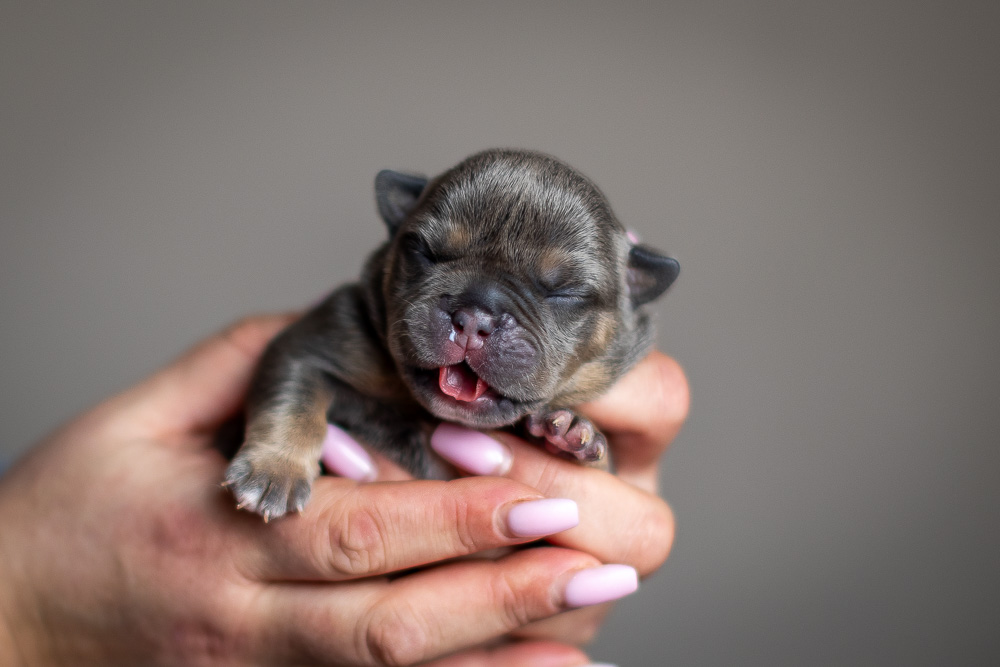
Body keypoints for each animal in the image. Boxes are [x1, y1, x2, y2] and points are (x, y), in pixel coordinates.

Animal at [224, 149, 679, 521]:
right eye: (425, 251)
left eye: (564, 292)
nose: (474, 318)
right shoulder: (313, 346)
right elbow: (294, 397)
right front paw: (274, 472)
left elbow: (605, 471)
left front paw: (571, 434)